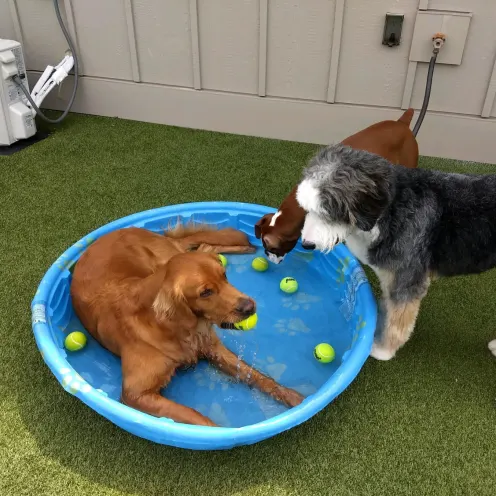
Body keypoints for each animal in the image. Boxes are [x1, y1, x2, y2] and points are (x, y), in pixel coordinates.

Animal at [296, 143, 494, 360]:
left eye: (328, 213)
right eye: (306, 208)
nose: (306, 244)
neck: (390, 211)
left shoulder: (406, 281)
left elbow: (398, 322)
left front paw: (382, 350)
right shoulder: (388, 276)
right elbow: (387, 308)